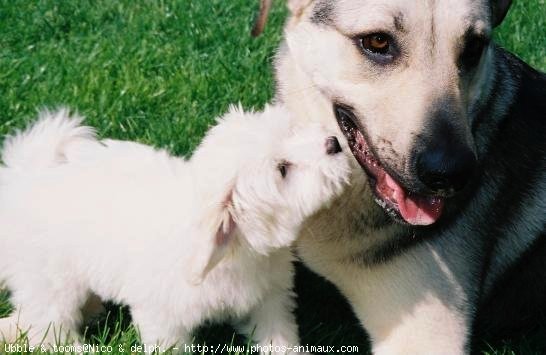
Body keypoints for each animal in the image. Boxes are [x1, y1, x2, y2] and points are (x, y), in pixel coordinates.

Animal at [0, 105, 348, 354]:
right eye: (282, 170)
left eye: (293, 131)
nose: (334, 143)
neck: (237, 250)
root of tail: (27, 178)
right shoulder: (163, 317)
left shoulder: (268, 299)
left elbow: (279, 336)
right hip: (51, 280)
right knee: (49, 327)